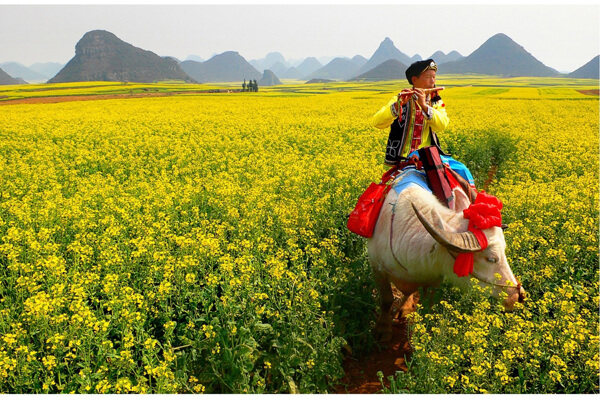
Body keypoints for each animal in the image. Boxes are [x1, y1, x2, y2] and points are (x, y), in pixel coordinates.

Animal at [366, 172, 524, 340]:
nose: (518, 296)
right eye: (491, 259)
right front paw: (382, 330)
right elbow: (386, 300)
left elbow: (426, 304)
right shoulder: (377, 267)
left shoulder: (434, 280)